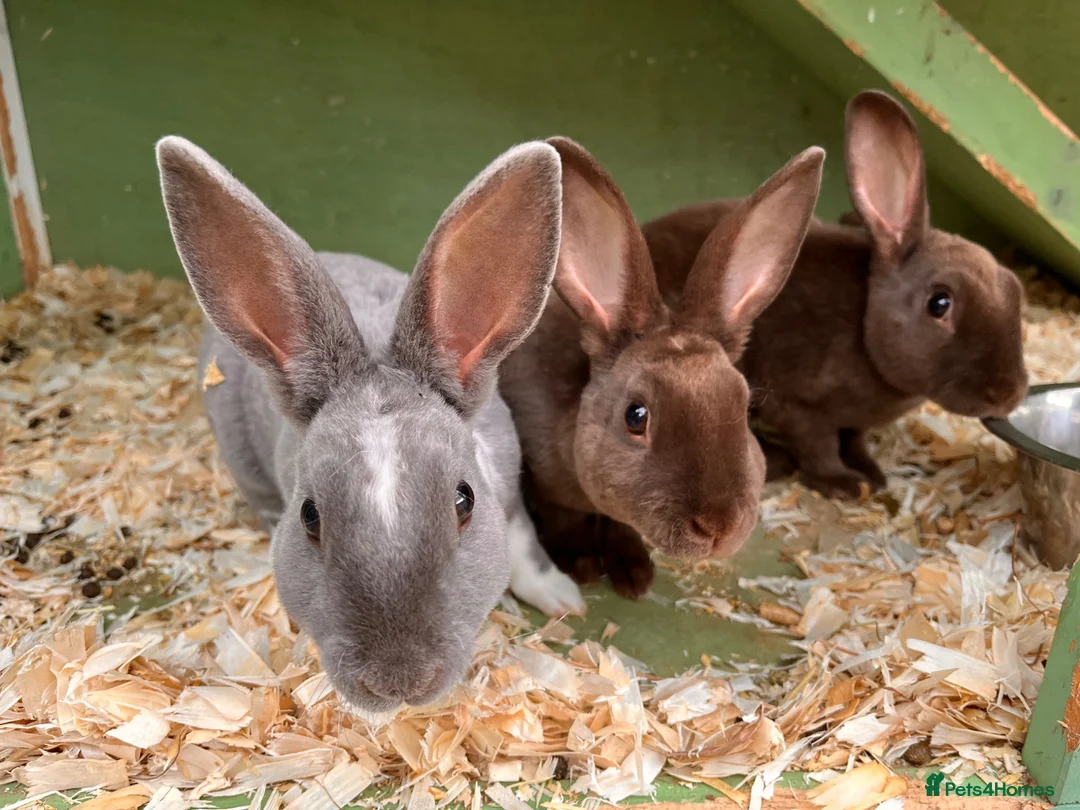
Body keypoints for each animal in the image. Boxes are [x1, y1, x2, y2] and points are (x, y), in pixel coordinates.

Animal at [156, 135, 586, 713]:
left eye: (464, 500)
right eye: (309, 516)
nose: (398, 683)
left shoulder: (511, 498)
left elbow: (527, 551)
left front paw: (566, 601)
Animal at [499, 137, 825, 599]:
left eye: (744, 409)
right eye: (636, 417)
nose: (718, 527)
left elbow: (619, 525)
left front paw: (634, 573)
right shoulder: (546, 479)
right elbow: (564, 516)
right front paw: (582, 565)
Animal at [644, 89, 1028, 499]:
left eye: (1016, 291)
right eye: (939, 303)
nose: (1009, 393)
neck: (865, 327)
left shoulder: (853, 422)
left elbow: (854, 440)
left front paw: (872, 473)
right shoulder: (799, 406)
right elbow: (821, 446)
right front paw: (846, 485)